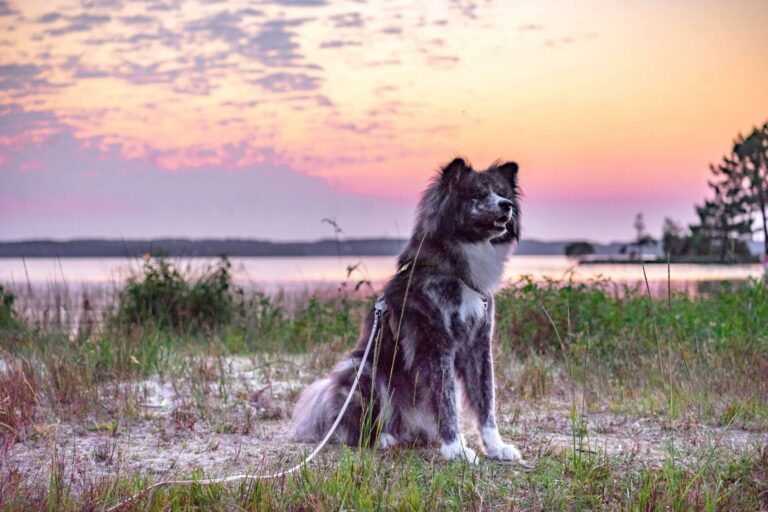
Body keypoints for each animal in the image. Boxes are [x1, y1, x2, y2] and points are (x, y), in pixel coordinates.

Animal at [292, 157, 520, 464]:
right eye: (478, 195)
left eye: (501, 193)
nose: (506, 205)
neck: (455, 269)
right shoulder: (436, 344)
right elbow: (447, 401)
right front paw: (456, 449)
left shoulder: (478, 345)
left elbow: (486, 401)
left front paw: (496, 447)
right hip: (365, 370)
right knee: (353, 427)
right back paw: (382, 438)